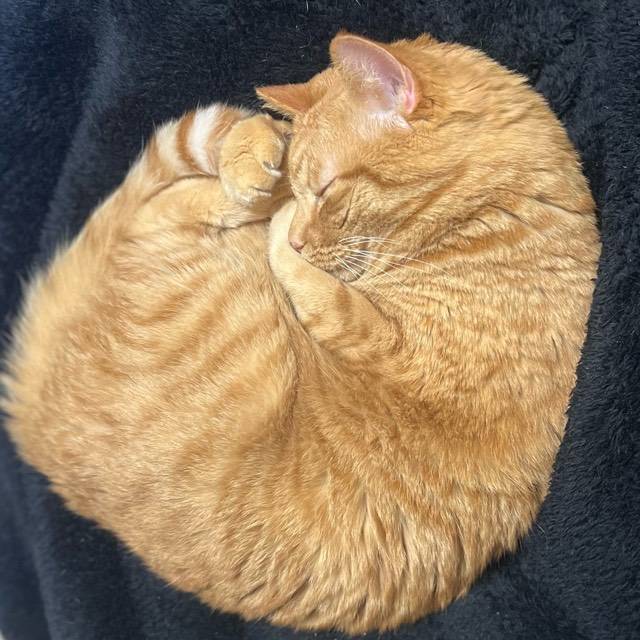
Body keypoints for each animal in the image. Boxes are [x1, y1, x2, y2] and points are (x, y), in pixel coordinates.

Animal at [2, 32, 600, 634]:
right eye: (310, 184)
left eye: (327, 190)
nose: (303, 239)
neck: (497, 215)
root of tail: (33, 419)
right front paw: (279, 178)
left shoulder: (382, 337)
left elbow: (309, 281)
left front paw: (284, 229)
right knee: (174, 197)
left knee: (178, 202)